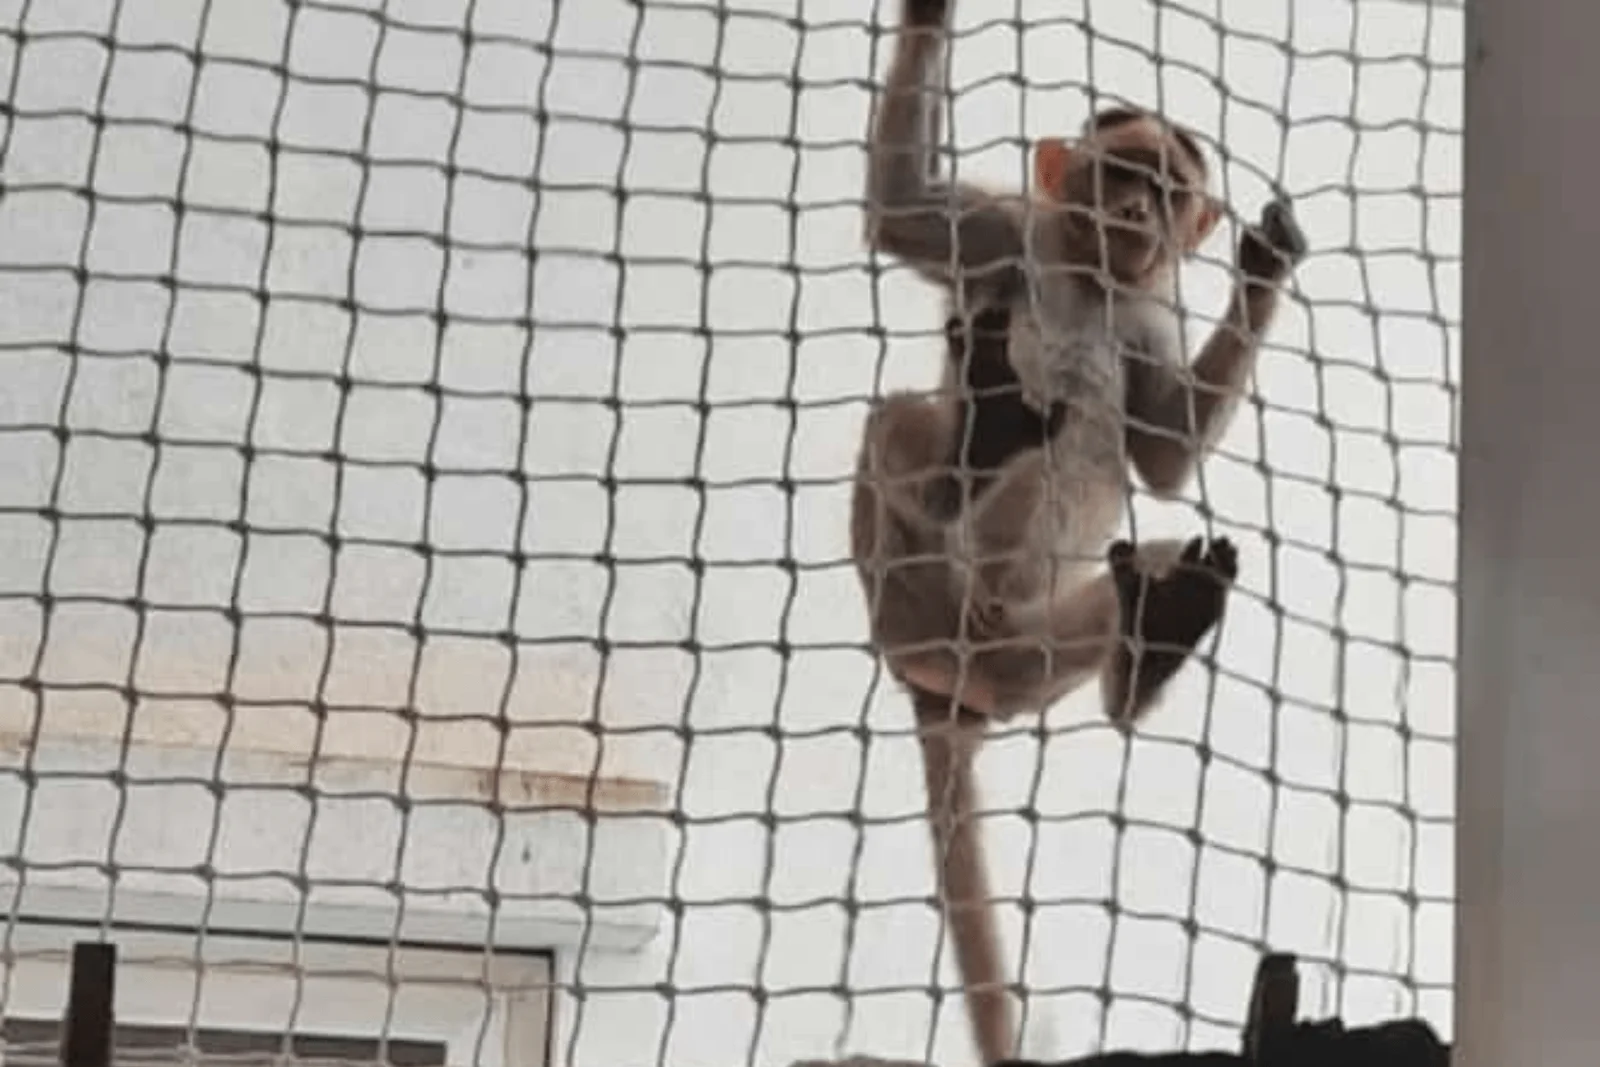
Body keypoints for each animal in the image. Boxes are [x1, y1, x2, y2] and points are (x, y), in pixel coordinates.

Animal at [849, 0, 1308, 1062]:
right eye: (1122, 174)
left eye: (1169, 190)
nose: (1137, 217)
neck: (1095, 279)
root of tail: (947, 688)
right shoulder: (1003, 229)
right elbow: (900, 209)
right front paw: (928, 15)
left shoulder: (1147, 316)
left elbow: (1168, 460)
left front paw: (1263, 275)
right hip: (912, 595)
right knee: (896, 426)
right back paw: (972, 445)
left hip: (1025, 661)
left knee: (1130, 572)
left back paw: (1153, 642)